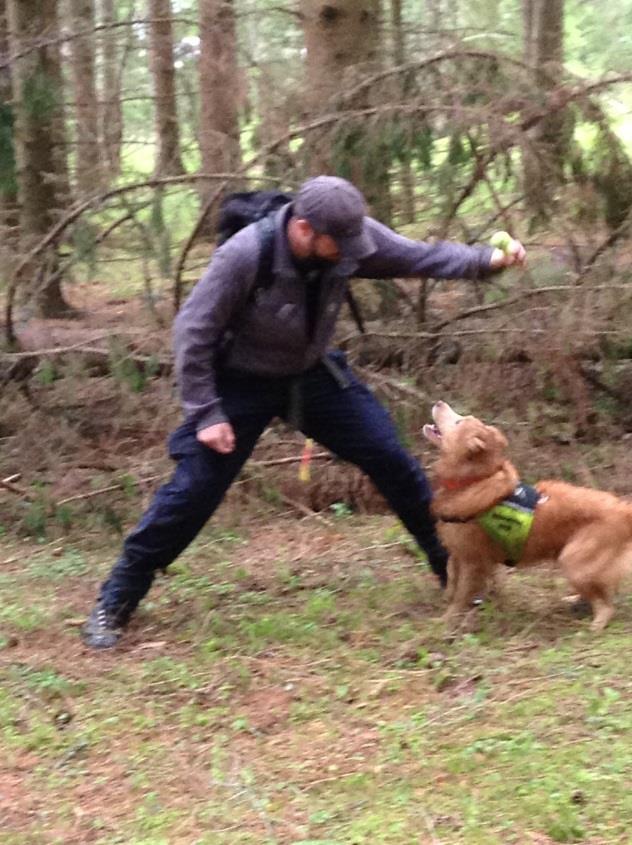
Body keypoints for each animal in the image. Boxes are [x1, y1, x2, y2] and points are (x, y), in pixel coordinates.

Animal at [424, 398, 632, 628]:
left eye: (459, 421)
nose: (438, 402)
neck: (473, 480)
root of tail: (623, 509)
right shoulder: (457, 554)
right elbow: (451, 578)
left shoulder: (473, 561)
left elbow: (460, 595)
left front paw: (446, 620)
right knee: (603, 591)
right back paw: (575, 600)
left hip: (573, 560)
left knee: (606, 604)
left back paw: (595, 624)